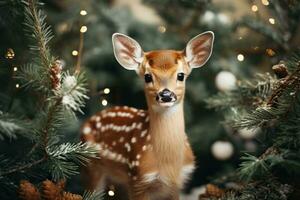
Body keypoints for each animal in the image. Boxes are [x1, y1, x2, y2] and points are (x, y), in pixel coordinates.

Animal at [81, 31, 214, 200]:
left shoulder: (177, 183)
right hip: (92, 165)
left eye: (181, 75)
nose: (166, 95)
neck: (168, 163)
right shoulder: (138, 177)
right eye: (147, 77)